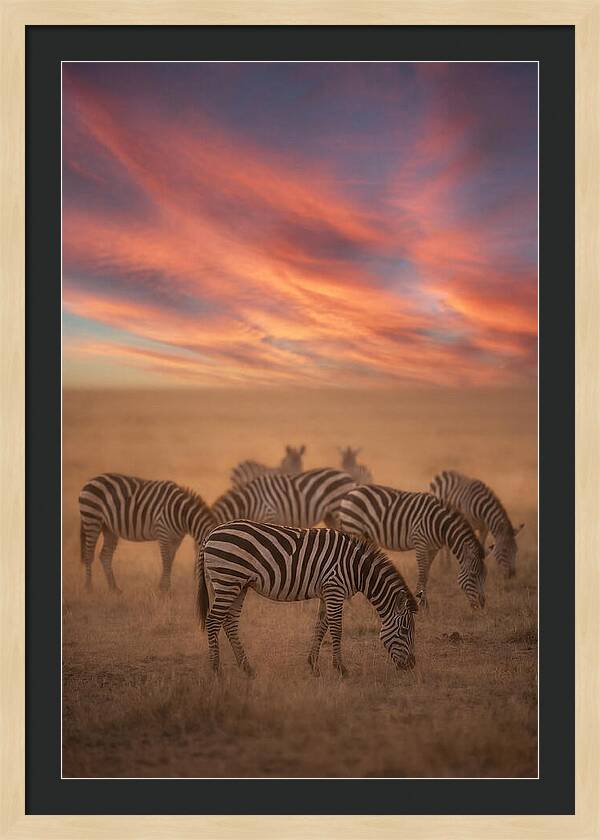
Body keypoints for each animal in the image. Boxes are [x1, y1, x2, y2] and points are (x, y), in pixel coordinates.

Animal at [79, 473, 215, 593]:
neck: (182, 514)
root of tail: (91, 480)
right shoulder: (163, 532)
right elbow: (166, 560)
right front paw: (165, 590)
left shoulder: (176, 539)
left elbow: (170, 560)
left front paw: (163, 588)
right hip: (92, 519)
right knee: (89, 554)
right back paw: (88, 588)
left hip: (109, 528)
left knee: (105, 556)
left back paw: (114, 589)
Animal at [196, 519, 418, 676]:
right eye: (405, 631)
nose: (411, 666)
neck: (357, 569)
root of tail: (211, 534)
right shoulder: (335, 589)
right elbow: (337, 629)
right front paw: (341, 668)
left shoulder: (327, 592)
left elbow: (321, 626)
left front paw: (313, 665)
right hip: (228, 580)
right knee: (213, 620)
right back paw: (216, 670)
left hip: (238, 585)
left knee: (229, 622)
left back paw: (247, 668)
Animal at [335, 484, 486, 610]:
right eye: (473, 575)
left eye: (484, 576)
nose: (482, 605)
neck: (440, 524)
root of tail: (351, 492)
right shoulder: (420, 542)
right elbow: (422, 572)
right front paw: (422, 603)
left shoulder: (433, 548)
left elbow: (427, 573)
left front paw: (424, 602)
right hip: (353, 527)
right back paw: (350, 602)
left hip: (365, 534)